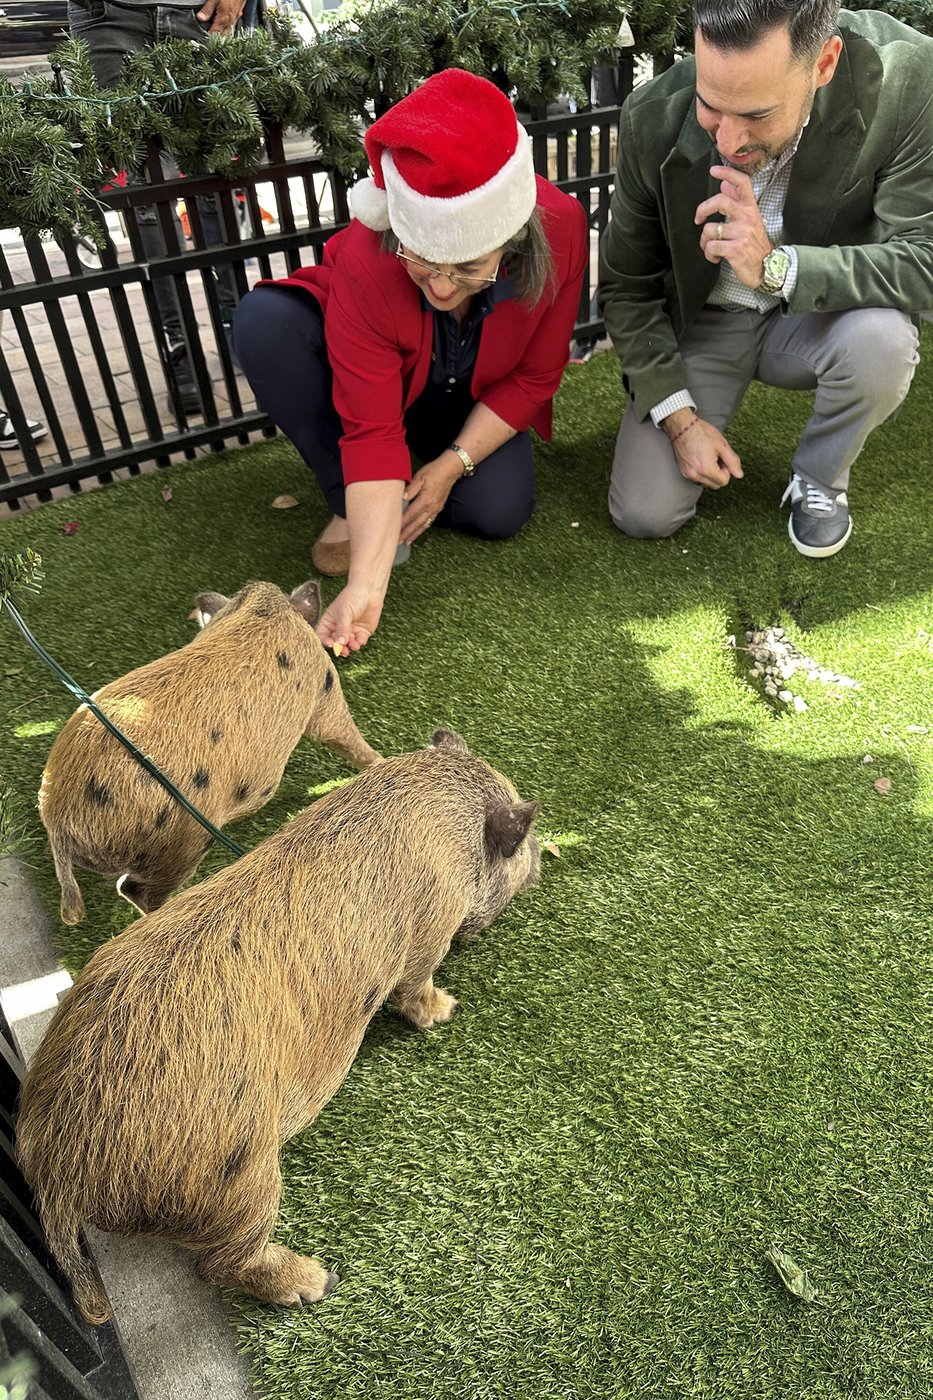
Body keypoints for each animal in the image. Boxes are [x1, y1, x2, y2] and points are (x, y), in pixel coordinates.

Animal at [16, 731, 540, 1322]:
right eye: (523, 842)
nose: (543, 860)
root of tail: (58, 1167)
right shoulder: (429, 937)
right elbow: (415, 989)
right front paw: (445, 1010)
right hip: (238, 1172)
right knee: (221, 1262)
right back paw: (316, 1280)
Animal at [38, 579, 380, 924]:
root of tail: (57, 820)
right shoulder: (324, 687)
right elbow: (345, 735)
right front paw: (380, 761)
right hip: (184, 838)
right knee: (134, 888)